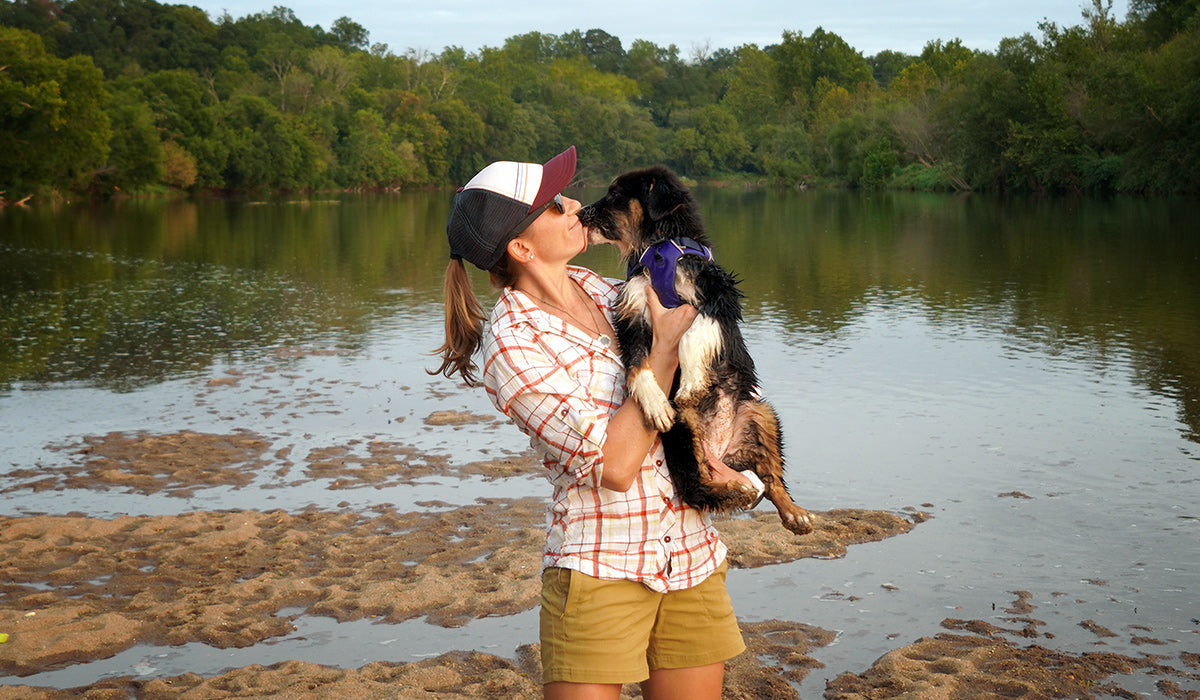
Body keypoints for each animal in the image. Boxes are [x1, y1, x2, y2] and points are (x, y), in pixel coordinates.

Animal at [580, 165, 816, 537]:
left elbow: (692, 330)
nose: (579, 214)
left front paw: (692, 382)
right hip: (682, 430)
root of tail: (722, 450)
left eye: (615, 194)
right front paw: (655, 402)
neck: (658, 250)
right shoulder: (631, 313)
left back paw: (795, 514)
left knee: (772, 479)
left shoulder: (718, 294)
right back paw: (737, 489)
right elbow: (636, 364)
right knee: (698, 485)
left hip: (761, 414)